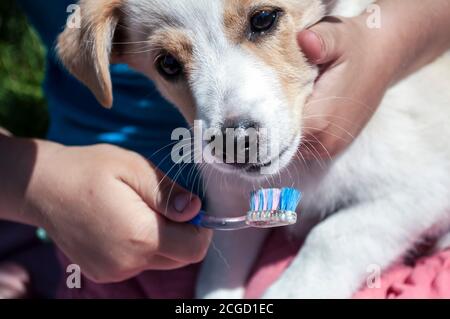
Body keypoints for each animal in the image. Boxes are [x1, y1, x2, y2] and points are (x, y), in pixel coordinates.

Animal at [57, 0, 450, 300]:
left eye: (263, 19)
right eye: (167, 64)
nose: (235, 143)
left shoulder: (420, 187)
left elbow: (333, 234)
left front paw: (292, 291)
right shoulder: (233, 206)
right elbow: (218, 273)